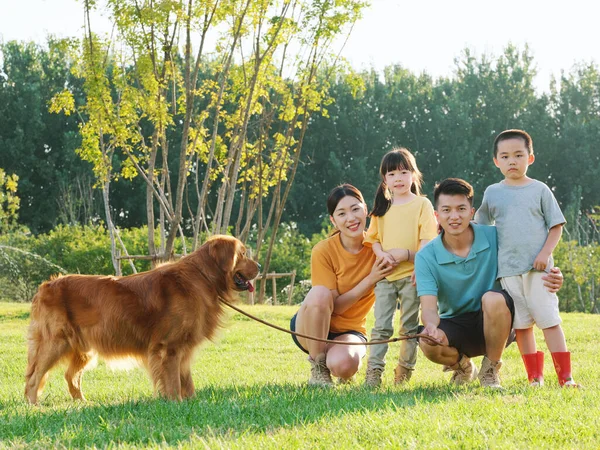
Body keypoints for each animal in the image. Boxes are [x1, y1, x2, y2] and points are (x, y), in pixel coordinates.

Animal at [24, 236, 258, 404]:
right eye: (242, 254)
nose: (259, 266)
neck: (203, 277)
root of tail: (45, 286)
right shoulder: (169, 347)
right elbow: (173, 380)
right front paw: (176, 402)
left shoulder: (182, 348)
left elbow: (186, 379)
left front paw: (192, 401)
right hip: (55, 343)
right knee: (34, 377)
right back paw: (33, 405)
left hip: (82, 348)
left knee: (70, 376)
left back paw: (82, 402)